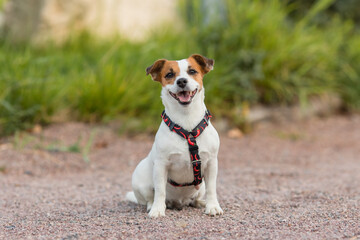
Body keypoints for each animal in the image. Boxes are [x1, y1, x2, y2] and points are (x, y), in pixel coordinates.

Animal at [126, 54, 222, 218]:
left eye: (192, 71)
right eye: (169, 74)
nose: (181, 81)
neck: (187, 121)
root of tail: (179, 202)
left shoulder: (211, 164)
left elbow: (212, 189)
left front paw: (212, 206)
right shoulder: (161, 165)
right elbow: (160, 191)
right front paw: (158, 209)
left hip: (200, 186)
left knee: (197, 197)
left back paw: (200, 203)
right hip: (140, 181)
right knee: (149, 198)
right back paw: (152, 206)